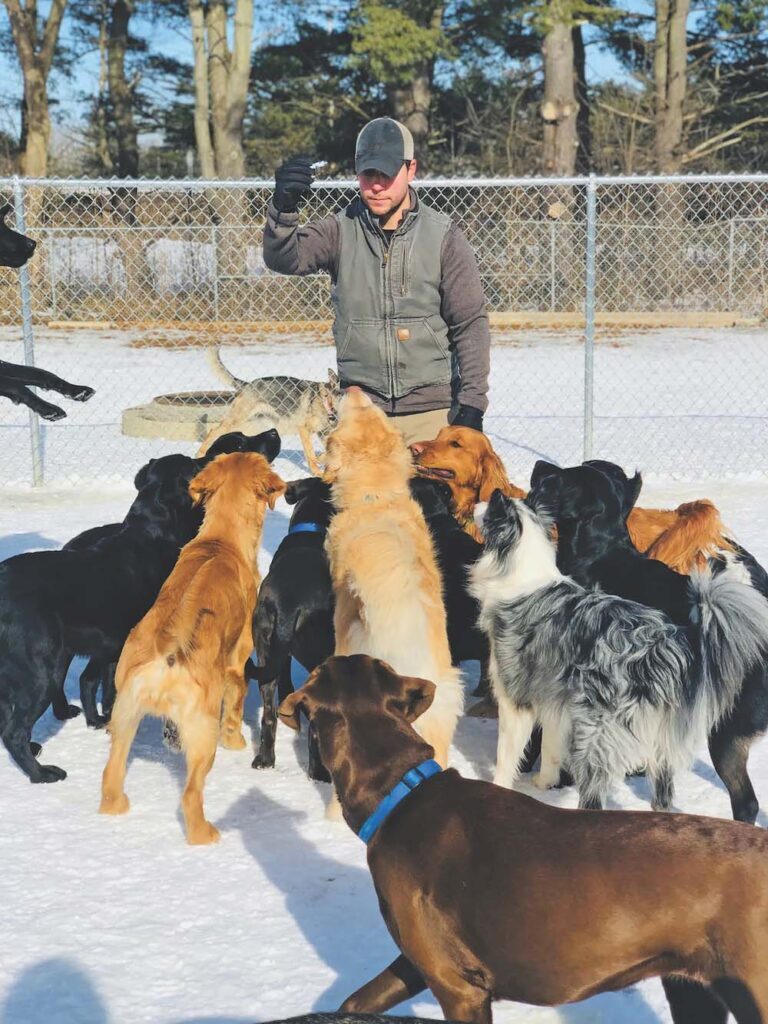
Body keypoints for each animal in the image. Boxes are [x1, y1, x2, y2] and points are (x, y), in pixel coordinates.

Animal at [100, 452, 285, 844]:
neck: (220, 541)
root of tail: (165, 658)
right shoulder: (237, 661)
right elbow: (236, 706)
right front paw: (238, 743)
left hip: (124, 716)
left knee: (111, 773)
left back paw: (115, 807)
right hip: (202, 734)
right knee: (190, 794)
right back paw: (204, 834)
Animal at [197, 346, 339, 476]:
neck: (325, 402)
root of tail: (248, 384)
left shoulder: (324, 434)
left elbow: (330, 453)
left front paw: (324, 461)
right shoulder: (304, 430)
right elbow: (310, 454)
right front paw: (317, 471)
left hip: (253, 427)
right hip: (236, 421)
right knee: (213, 432)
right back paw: (201, 455)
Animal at [250, 476, 335, 779]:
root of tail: (288, 604)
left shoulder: (279, 653)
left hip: (265, 652)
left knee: (268, 715)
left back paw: (264, 759)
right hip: (318, 653)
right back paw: (318, 772)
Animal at [469, 489, 768, 811]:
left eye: (490, 507)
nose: (475, 505)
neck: (525, 574)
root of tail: (672, 648)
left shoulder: (514, 700)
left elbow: (506, 758)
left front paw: (498, 790)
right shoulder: (552, 699)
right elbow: (550, 750)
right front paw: (542, 785)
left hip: (596, 736)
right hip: (656, 747)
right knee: (661, 799)